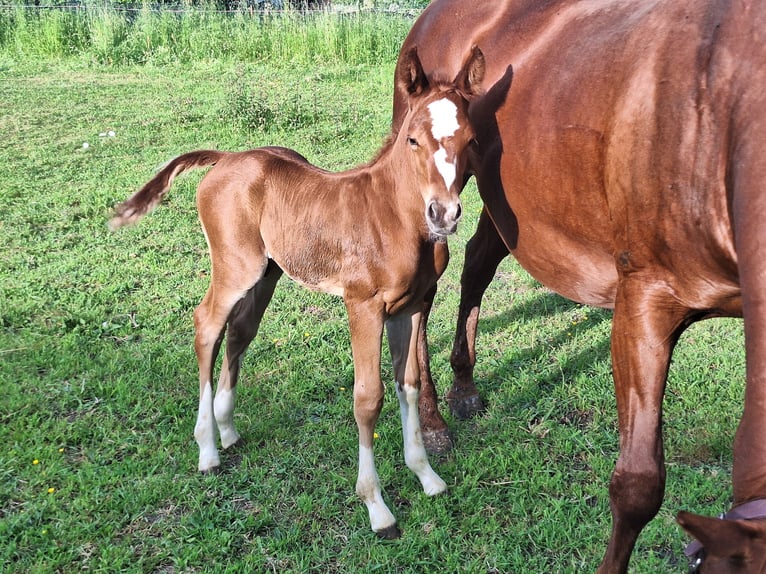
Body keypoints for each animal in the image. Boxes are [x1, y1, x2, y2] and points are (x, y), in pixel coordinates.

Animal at [109, 46, 486, 539]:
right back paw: (207, 449)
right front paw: (377, 508)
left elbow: (408, 385)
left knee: (239, 331)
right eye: (412, 140)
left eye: (471, 139)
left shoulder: (413, 306)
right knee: (207, 324)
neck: (394, 216)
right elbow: (368, 399)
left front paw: (426, 476)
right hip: (236, 267)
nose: (443, 214)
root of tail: (225, 158)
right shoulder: (363, 305)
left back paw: (228, 430)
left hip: (267, 273)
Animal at [392, 0, 766, 571]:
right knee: (428, 287)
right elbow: (637, 488)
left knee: (478, 263)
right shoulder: (645, 301)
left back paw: (465, 386)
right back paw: (432, 422)